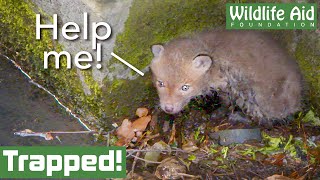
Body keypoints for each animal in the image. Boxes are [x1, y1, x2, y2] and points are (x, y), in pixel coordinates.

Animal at [150, 30, 302, 122]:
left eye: (185, 88)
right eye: (160, 83)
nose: (168, 109)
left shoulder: (228, 84)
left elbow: (226, 101)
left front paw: (220, 112)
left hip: (257, 96)